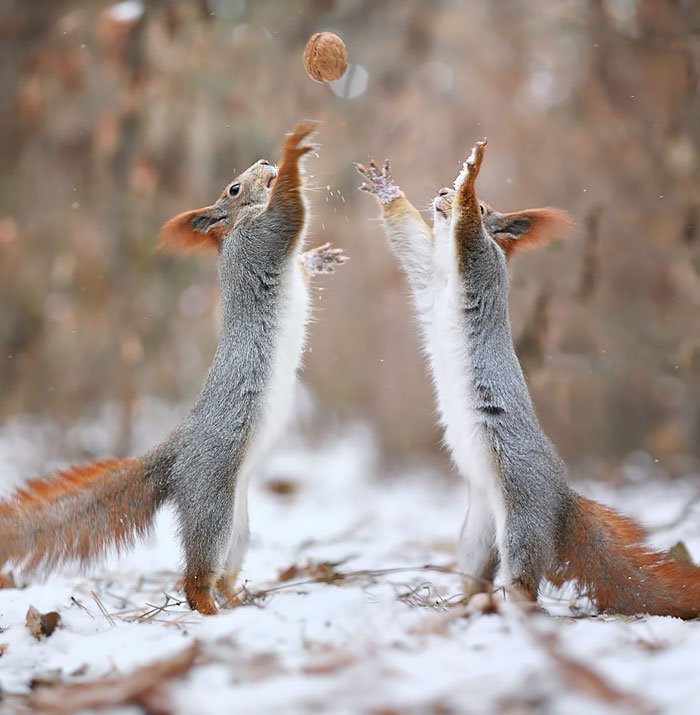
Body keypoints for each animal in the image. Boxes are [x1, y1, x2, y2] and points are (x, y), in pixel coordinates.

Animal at [0, 123, 350, 616]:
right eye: (233, 188)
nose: (264, 162)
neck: (236, 229)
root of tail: (177, 452)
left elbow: (299, 253)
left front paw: (320, 258)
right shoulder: (260, 242)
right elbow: (289, 213)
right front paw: (293, 154)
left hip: (236, 525)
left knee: (224, 570)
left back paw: (237, 600)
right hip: (211, 499)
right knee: (195, 578)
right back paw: (210, 609)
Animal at [358, 141, 700, 620]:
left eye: (487, 207)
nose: (443, 192)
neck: (446, 271)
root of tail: (561, 501)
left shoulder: (480, 263)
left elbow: (468, 233)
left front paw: (472, 173)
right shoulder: (426, 272)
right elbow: (408, 238)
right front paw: (386, 188)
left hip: (522, 517)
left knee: (524, 583)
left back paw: (511, 609)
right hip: (478, 532)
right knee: (478, 574)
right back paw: (461, 605)